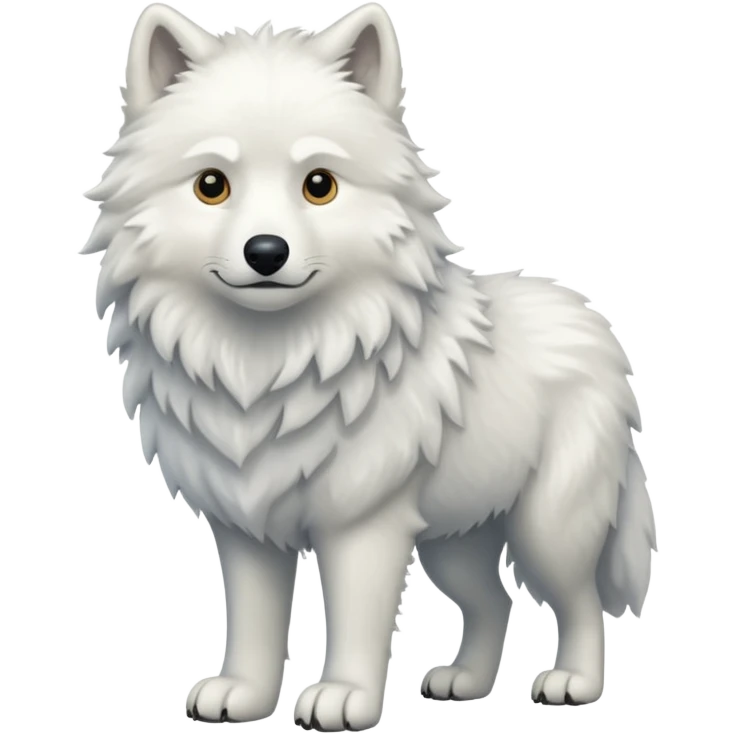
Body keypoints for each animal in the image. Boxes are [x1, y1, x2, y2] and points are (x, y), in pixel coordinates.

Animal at [83, 2, 657, 728]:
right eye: (211, 185)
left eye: (319, 185)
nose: (265, 252)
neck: (268, 365)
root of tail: (594, 322)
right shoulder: (245, 528)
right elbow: (254, 622)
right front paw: (242, 694)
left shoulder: (362, 526)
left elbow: (355, 621)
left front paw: (343, 698)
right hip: (454, 541)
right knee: (494, 600)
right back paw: (465, 682)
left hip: (546, 527)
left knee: (581, 602)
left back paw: (573, 684)